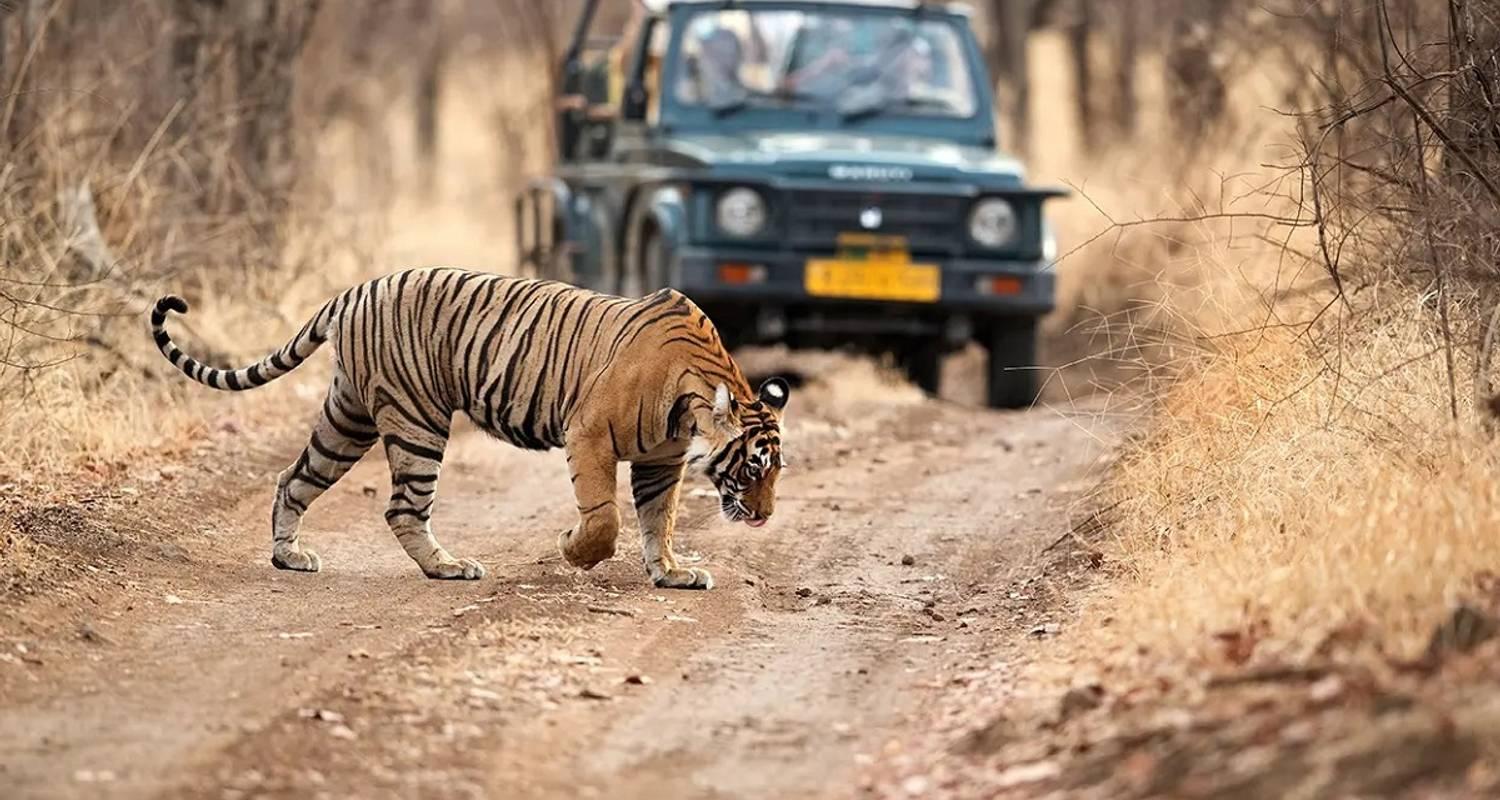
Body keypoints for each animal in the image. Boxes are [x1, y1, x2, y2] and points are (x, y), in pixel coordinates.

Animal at [148, 268, 789, 590]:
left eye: (776, 471)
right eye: (753, 466)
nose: (764, 517)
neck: (693, 399)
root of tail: (354, 290)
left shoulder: (662, 459)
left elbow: (661, 520)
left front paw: (672, 573)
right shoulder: (588, 434)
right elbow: (605, 518)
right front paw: (573, 549)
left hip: (348, 417)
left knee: (293, 478)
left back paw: (289, 557)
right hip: (417, 420)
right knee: (402, 508)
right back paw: (447, 567)